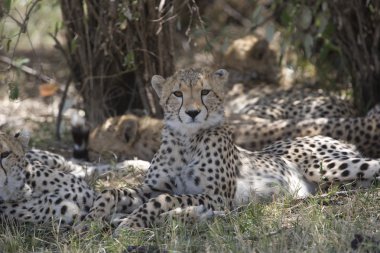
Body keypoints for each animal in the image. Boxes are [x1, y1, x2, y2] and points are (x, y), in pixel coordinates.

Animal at [83, 67, 380, 233]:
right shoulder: (152, 188)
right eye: (177, 93)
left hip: (328, 167)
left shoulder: (216, 197)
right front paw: (93, 218)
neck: (186, 140)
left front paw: (132, 223)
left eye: (205, 91)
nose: (192, 112)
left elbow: (164, 200)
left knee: (373, 166)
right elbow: (112, 191)